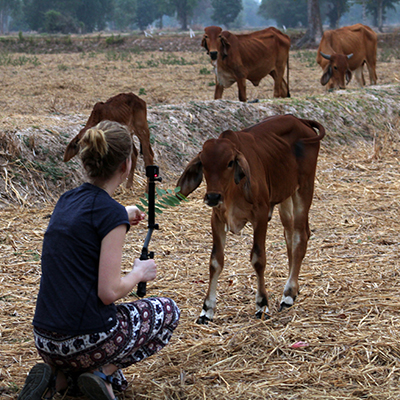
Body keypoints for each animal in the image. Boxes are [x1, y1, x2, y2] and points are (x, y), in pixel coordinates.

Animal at [177, 114, 324, 324]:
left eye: (230, 162)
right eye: (203, 163)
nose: (213, 196)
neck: (233, 191)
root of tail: (300, 120)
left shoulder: (261, 216)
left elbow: (258, 259)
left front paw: (262, 305)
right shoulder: (217, 219)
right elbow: (215, 261)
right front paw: (207, 310)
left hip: (304, 189)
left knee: (300, 236)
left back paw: (288, 294)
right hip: (285, 197)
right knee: (290, 236)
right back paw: (292, 289)